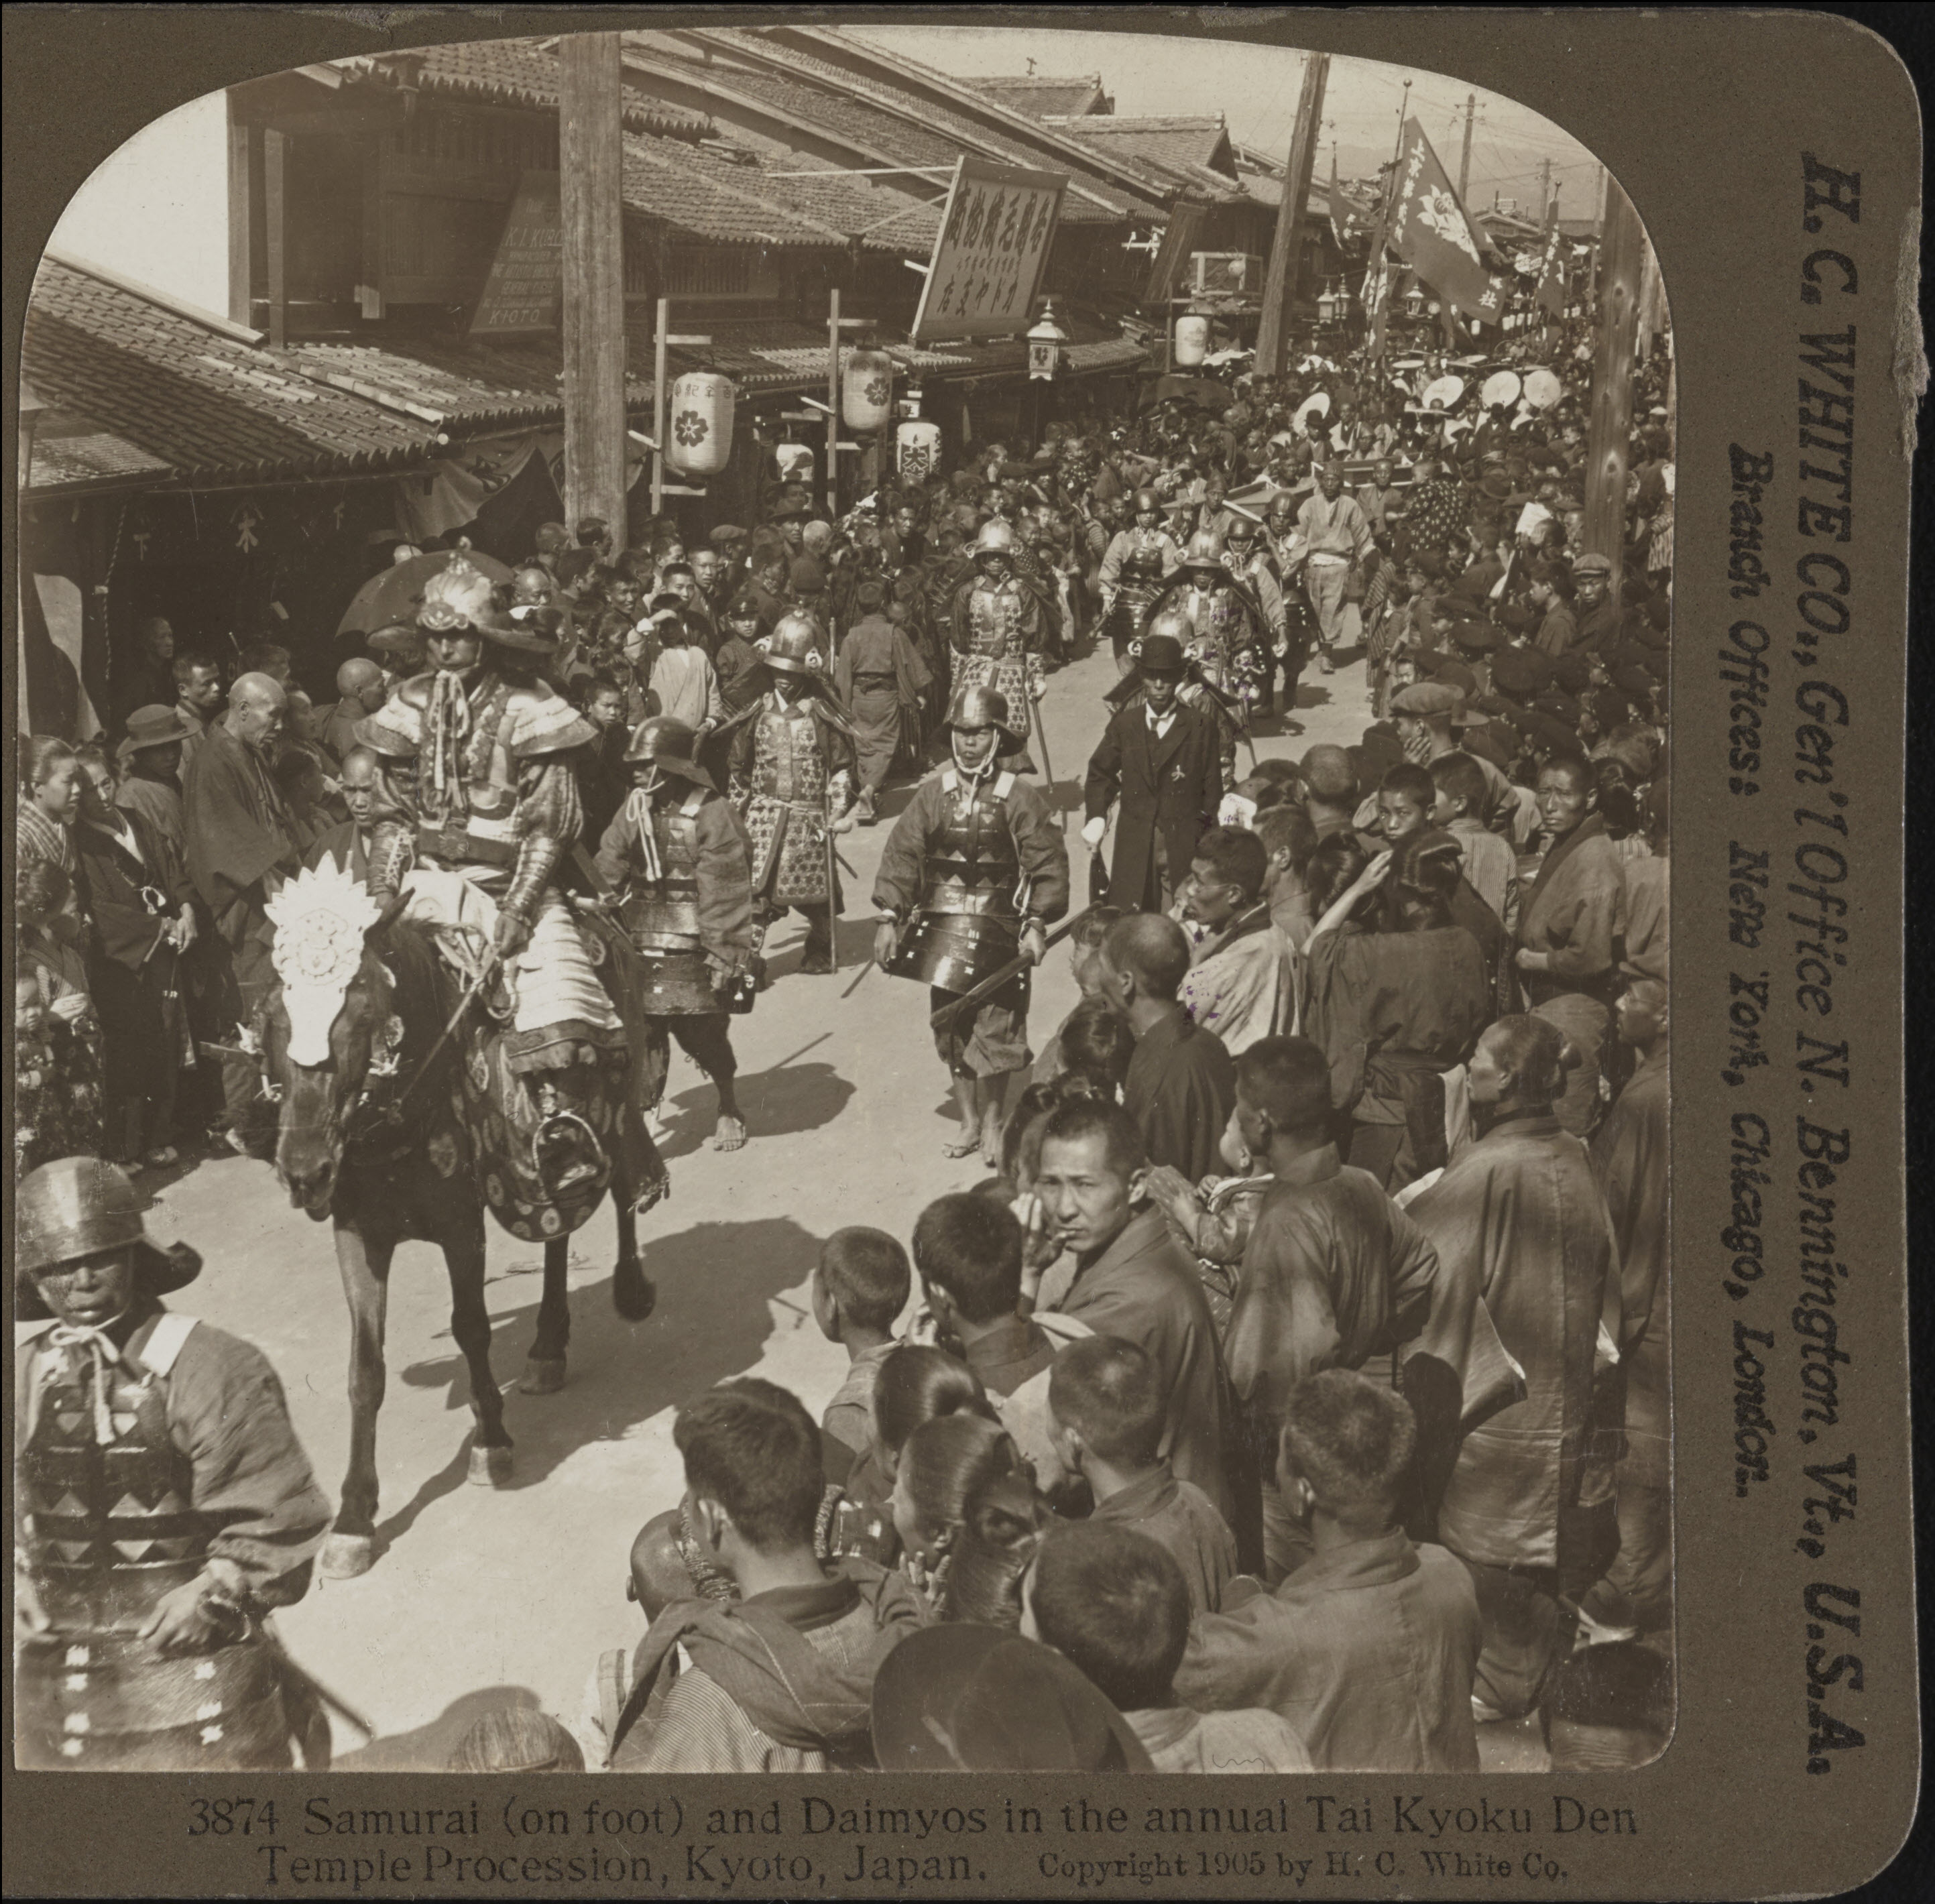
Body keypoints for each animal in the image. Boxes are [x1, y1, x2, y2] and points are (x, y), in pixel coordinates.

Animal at [263, 901, 665, 1586]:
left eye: (363, 1013)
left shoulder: (459, 1226)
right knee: (555, 1230)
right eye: (276, 1017)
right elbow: (365, 1370)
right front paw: (354, 1519)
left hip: (619, 1083)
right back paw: (548, 1345)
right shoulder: (357, 1236)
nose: (305, 1169)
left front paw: (491, 1442)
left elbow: (472, 1328)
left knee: (616, 1185)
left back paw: (630, 1290)